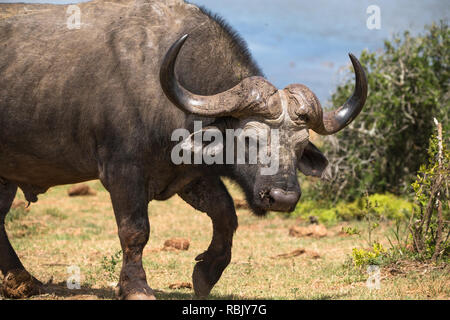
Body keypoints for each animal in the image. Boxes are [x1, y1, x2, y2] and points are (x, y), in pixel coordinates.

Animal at [0, 0, 366, 300]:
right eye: (250, 139)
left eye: (300, 146)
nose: (283, 198)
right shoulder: (122, 172)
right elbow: (135, 230)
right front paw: (137, 287)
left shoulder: (187, 175)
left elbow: (226, 214)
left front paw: (206, 273)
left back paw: (22, 281)